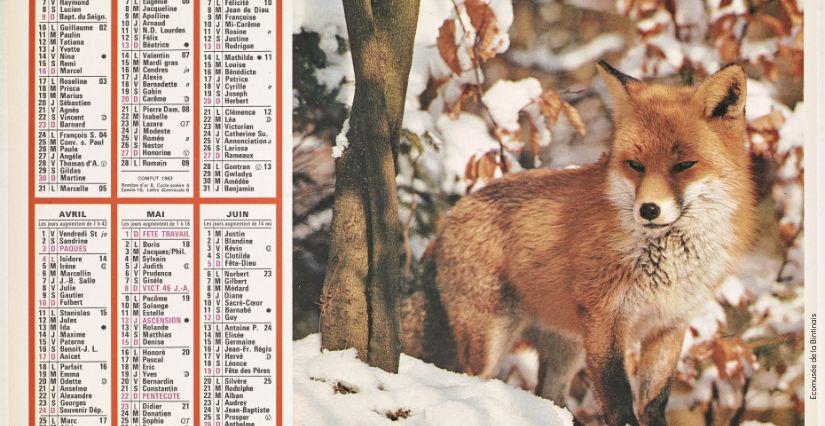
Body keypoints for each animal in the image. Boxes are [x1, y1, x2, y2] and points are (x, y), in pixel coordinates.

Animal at [400, 60, 752, 426]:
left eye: (684, 165)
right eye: (635, 165)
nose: (649, 209)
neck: (666, 262)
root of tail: (448, 219)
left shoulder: (668, 325)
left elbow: (655, 402)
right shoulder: (605, 318)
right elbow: (619, 399)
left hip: (565, 350)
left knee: (549, 395)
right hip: (491, 339)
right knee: (473, 378)